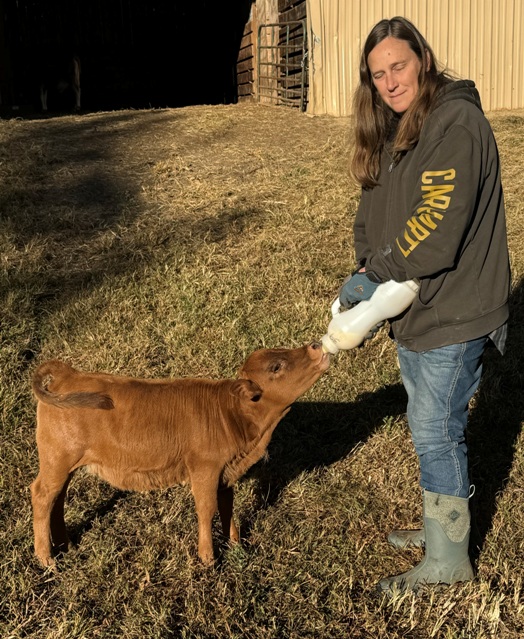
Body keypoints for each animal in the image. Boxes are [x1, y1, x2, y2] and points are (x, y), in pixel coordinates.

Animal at [29, 344, 328, 564]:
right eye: (276, 367)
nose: (315, 346)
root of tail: (68, 374)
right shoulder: (205, 469)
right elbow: (206, 509)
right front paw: (208, 559)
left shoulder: (226, 473)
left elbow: (227, 506)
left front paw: (235, 544)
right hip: (57, 460)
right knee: (42, 495)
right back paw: (46, 559)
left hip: (64, 464)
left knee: (57, 499)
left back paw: (65, 545)